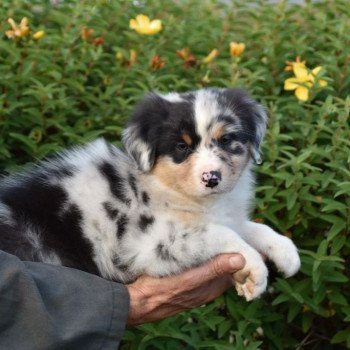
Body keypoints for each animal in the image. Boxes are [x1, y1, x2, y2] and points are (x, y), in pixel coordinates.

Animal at [0, 88, 300, 300]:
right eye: (181, 146)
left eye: (226, 140)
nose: (212, 178)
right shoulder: (150, 246)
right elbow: (222, 233)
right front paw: (256, 271)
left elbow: (249, 227)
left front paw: (286, 252)